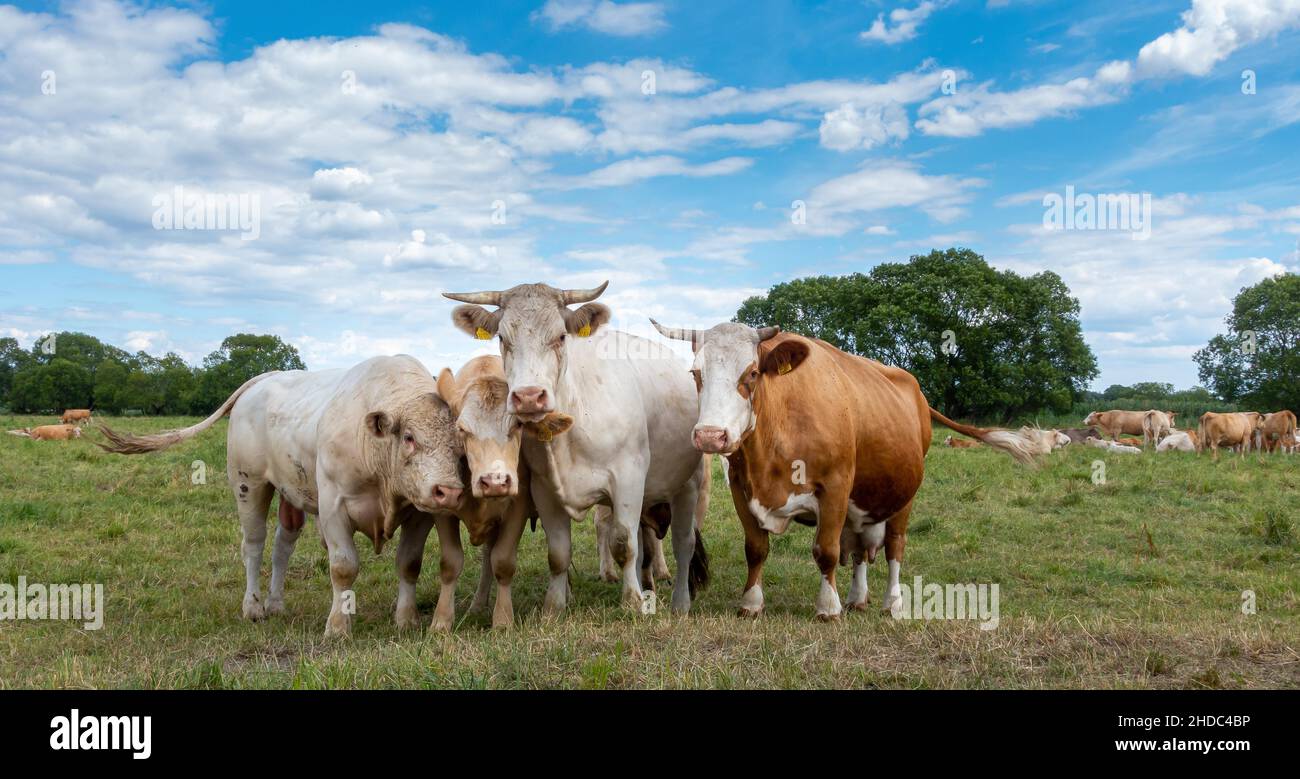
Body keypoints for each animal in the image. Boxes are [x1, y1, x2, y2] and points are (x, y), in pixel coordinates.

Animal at [101, 356, 467, 637]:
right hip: (248, 484)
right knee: (253, 545)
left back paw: (275, 602)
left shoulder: (419, 513)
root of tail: (268, 377)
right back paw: (253, 606)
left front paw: (406, 619)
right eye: (409, 437)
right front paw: (338, 626)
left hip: (291, 491)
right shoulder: (333, 508)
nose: (448, 491)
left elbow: (409, 564)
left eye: (460, 442)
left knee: (282, 545)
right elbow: (343, 567)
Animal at [447, 280, 712, 616]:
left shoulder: (628, 478)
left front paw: (632, 602)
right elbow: (559, 552)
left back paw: (680, 601)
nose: (529, 397)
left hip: (689, 484)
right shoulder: (544, 488)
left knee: (683, 543)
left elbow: (623, 544)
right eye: (503, 338)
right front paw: (554, 606)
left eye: (561, 336)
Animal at [655, 318, 1040, 621]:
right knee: (859, 549)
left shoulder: (836, 486)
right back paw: (858, 598)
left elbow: (826, 551)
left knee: (894, 547)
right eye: (696, 373)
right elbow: (756, 548)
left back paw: (892, 604)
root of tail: (917, 391)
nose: (710, 435)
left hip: (905, 496)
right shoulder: (740, 487)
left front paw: (828, 607)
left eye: (751, 373)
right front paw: (751, 603)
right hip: (864, 499)